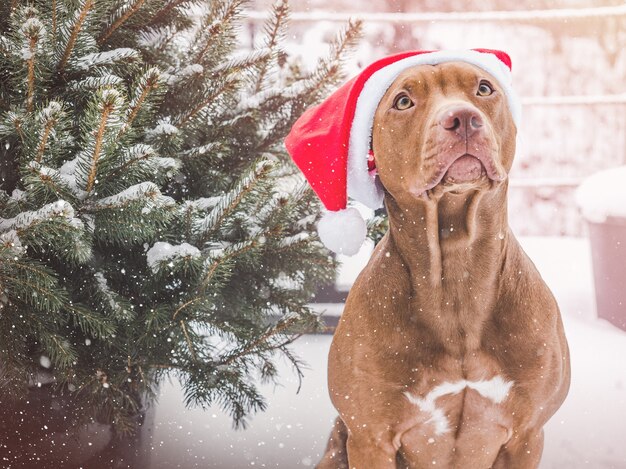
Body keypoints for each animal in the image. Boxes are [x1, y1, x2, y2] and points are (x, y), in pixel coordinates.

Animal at [316, 61, 572, 464]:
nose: (464, 118)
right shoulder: (370, 438)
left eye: (483, 88)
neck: (456, 270)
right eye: (403, 101)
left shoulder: (527, 436)